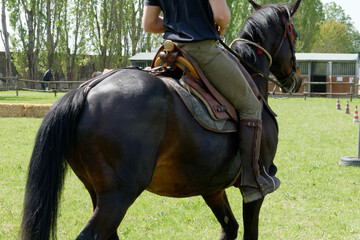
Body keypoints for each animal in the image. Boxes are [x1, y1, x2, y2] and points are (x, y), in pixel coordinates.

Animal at [21, 0, 302, 239]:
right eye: (295, 35)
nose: (297, 78)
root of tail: (88, 88)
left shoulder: (212, 186)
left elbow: (229, 227)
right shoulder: (253, 191)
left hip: (97, 192)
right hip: (118, 197)